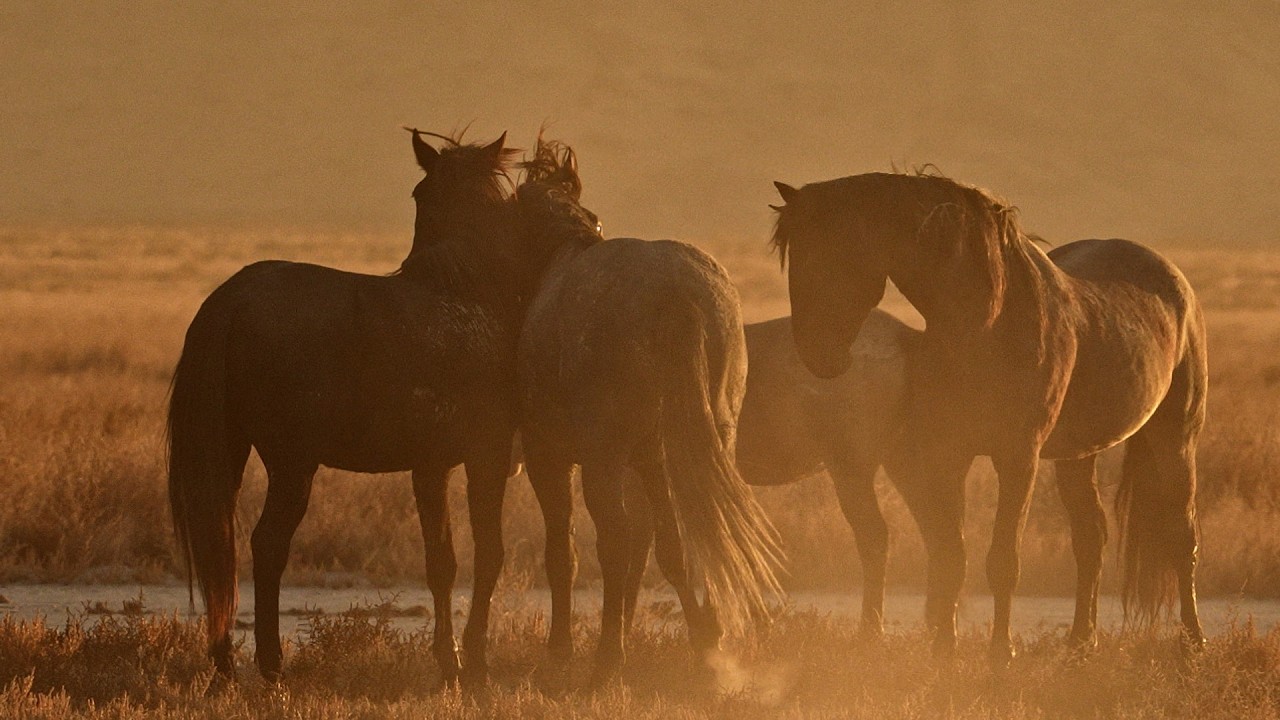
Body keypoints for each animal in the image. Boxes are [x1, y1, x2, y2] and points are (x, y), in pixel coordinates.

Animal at [168, 129, 569, 684]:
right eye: (419, 193)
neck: (468, 295)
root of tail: (230, 299)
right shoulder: (484, 458)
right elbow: (489, 555)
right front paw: (475, 664)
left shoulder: (432, 467)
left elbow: (442, 561)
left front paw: (449, 660)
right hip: (292, 462)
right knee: (267, 544)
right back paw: (271, 665)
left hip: (230, 452)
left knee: (220, 544)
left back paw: (225, 666)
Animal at [517, 140, 785, 684]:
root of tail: (675, 292)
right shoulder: (649, 458)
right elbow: (667, 546)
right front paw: (700, 636)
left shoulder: (549, 457)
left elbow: (566, 553)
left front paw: (562, 650)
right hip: (699, 445)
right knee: (697, 534)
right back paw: (706, 640)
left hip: (604, 460)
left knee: (614, 543)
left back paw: (606, 658)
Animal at [771, 172, 1207, 665]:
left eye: (833, 251)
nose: (817, 356)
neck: (988, 322)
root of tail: (1173, 280)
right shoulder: (947, 455)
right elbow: (951, 557)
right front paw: (944, 651)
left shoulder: (1018, 458)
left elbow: (1002, 561)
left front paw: (1002, 654)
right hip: (1077, 455)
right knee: (1090, 539)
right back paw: (1081, 643)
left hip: (1176, 439)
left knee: (1181, 536)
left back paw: (1193, 643)